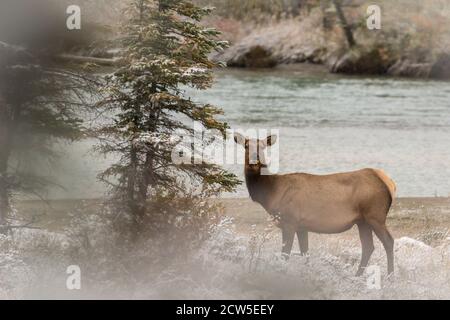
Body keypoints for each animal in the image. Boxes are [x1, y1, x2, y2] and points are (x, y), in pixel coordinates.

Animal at [234, 132, 396, 276]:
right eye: (246, 145)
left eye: (262, 146)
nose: (254, 161)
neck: (271, 193)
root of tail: (388, 182)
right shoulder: (301, 226)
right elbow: (305, 253)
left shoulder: (289, 221)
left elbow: (285, 254)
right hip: (362, 221)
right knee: (368, 246)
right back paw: (357, 276)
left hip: (375, 215)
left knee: (388, 241)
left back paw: (390, 276)